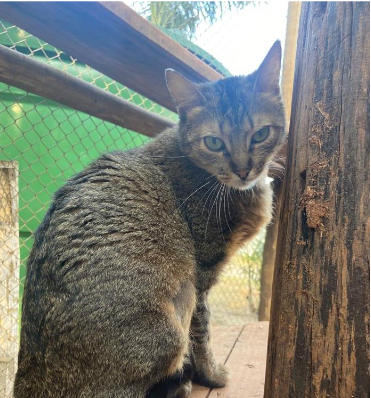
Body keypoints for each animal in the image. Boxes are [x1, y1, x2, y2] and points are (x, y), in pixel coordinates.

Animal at [13, 41, 288, 398]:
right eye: (214, 142)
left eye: (260, 134)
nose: (244, 170)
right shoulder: (201, 273)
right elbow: (203, 333)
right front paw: (212, 374)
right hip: (175, 314)